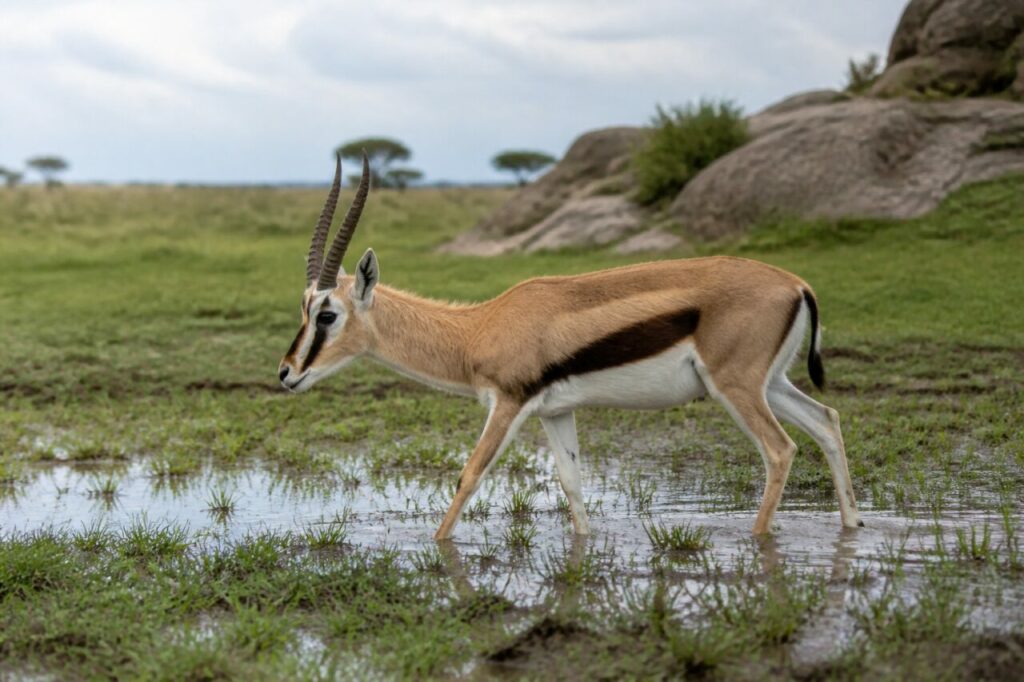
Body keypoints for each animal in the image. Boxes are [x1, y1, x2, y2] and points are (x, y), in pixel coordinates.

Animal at [279, 155, 863, 540]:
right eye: (303, 308)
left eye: (327, 314)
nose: (286, 373)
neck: (479, 327)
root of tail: (796, 284)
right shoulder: (555, 413)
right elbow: (573, 485)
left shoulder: (508, 405)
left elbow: (470, 475)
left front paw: (437, 547)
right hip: (772, 383)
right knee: (827, 420)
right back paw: (853, 523)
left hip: (736, 387)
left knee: (780, 449)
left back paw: (761, 538)